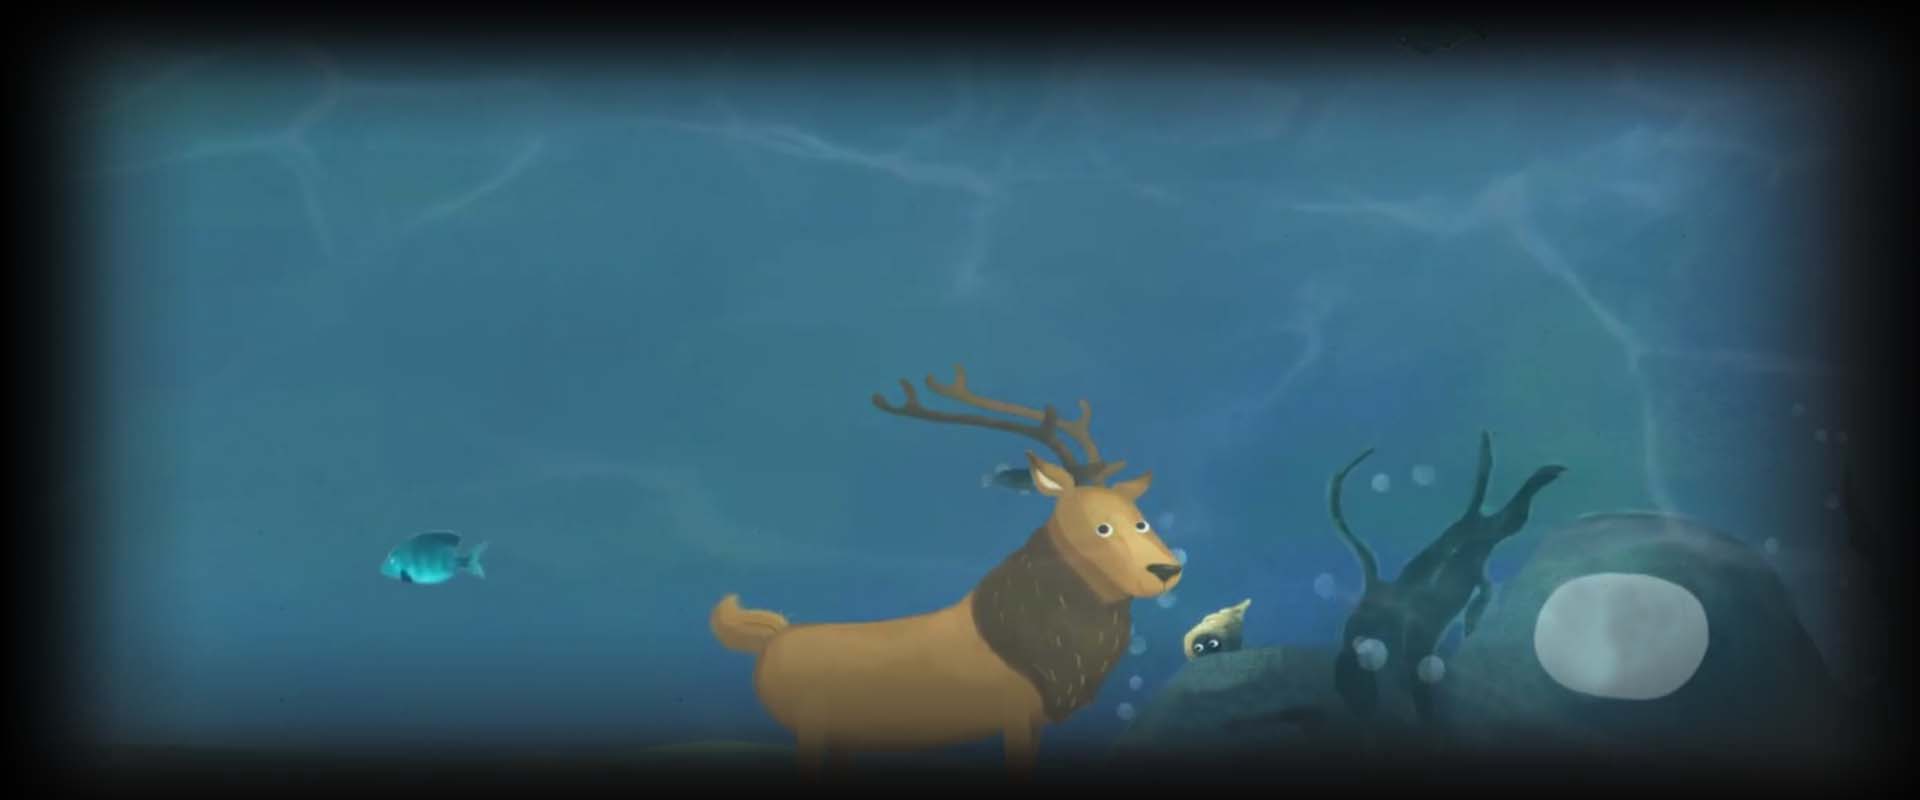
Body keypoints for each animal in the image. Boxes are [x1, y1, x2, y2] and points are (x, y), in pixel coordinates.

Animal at [710, 365, 1182, 778]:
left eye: (1141, 519)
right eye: (1102, 526)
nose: (1166, 570)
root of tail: (769, 640)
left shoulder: (1033, 721)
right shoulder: (1013, 715)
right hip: (811, 732)